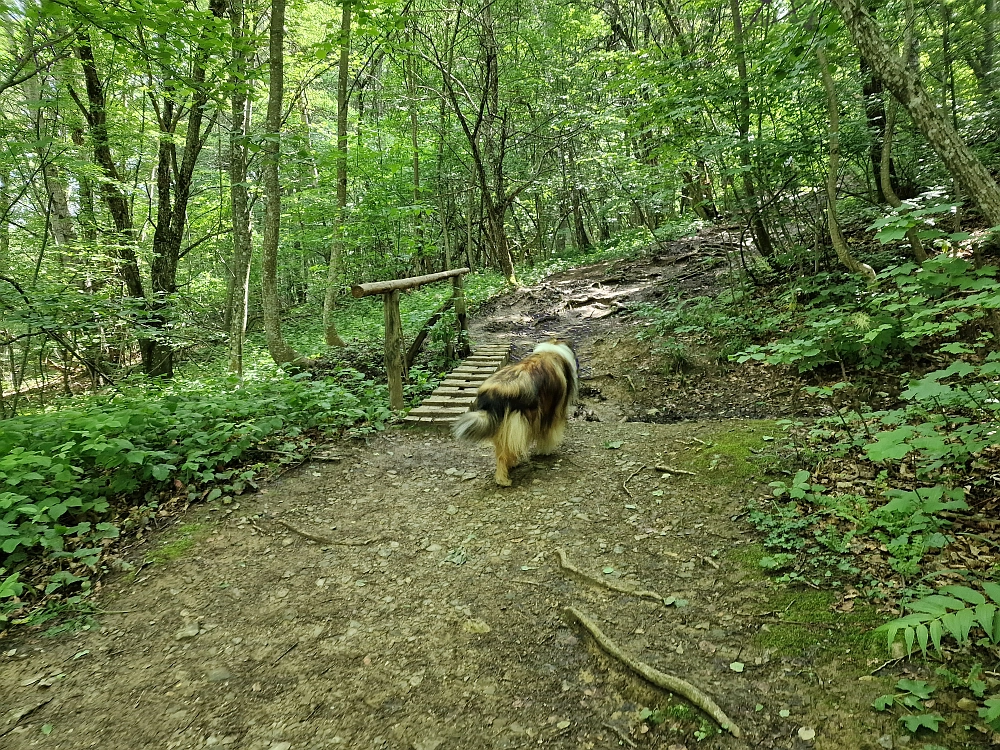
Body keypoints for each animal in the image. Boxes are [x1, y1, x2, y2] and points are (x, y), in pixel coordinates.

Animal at [454, 340, 580, 488]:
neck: (551, 349)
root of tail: (493, 393)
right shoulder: (552, 412)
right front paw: (545, 450)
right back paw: (504, 480)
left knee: (501, 454)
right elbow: (547, 434)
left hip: (504, 427)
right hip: (517, 423)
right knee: (504, 454)